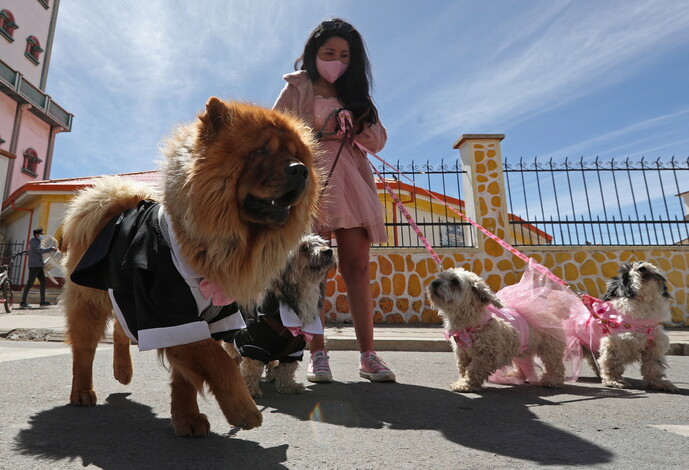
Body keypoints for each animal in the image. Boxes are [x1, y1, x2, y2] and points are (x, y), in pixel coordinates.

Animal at [61, 99, 320, 436]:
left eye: (296, 155)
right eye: (261, 151)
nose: (300, 170)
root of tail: (115, 206)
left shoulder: (217, 316)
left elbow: (187, 378)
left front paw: (187, 420)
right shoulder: (169, 315)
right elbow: (220, 361)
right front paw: (244, 409)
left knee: (120, 328)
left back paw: (123, 371)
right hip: (89, 301)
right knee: (84, 349)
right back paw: (82, 392)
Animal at [424, 268, 564, 392]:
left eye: (455, 281)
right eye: (439, 277)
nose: (434, 283)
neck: (470, 323)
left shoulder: (487, 354)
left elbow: (473, 369)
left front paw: (466, 385)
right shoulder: (462, 354)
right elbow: (463, 369)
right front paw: (463, 381)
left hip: (550, 349)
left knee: (556, 365)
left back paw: (552, 381)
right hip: (521, 349)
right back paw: (515, 375)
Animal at [564, 260, 676, 392]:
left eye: (641, 262)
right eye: (627, 277)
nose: (642, 268)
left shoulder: (654, 344)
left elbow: (654, 366)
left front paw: (658, 383)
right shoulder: (614, 343)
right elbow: (612, 363)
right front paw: (614, 381)